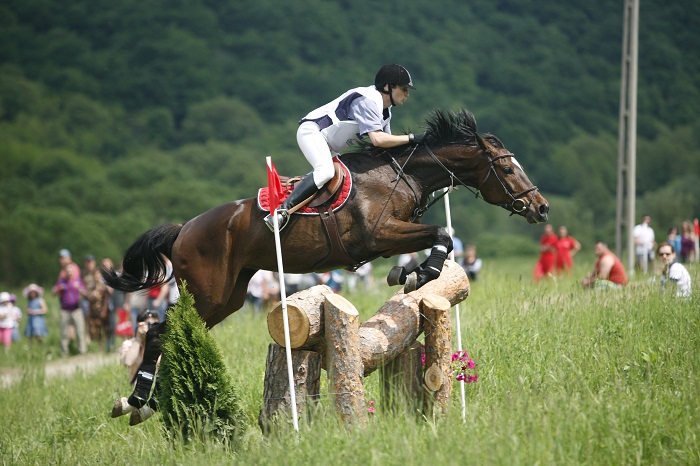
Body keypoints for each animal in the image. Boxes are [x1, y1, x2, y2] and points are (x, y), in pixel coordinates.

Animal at [105, 108, 549, 423]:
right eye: (506, 168)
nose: (541, 208)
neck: (399, 175)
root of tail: (183, 229)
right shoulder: (380, 236)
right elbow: (442, 234)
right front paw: (418, 273)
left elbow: (439, 238)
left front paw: (413, 274)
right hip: (207, 292)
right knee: (159, 332)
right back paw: (136, 401)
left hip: (227, 298)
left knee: (173, 333)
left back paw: (149, 403)